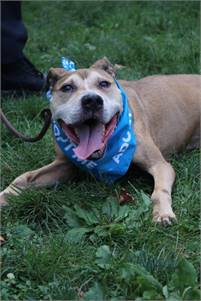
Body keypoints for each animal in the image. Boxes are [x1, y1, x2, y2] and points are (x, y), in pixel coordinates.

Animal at [0, 57, 200, 224]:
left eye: (104, 83)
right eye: (67, 88)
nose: (91, 100)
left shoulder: (160, 165)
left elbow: (159, 191)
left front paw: (163, 213)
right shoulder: (65, 165)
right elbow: (23, 178)